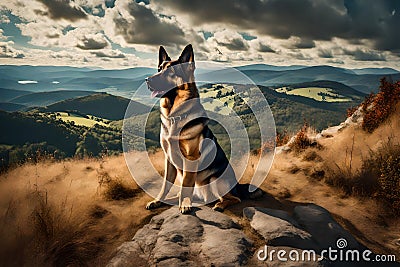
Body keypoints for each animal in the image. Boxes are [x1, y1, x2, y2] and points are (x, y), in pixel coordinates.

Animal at [147, 44, 247, 216]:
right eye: (159, 69)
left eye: (170, 72)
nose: (147, 80)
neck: (174, 116)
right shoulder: (169, 159)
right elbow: (166, 185)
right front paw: (158, 200)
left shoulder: (190, 158)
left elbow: (186, 184)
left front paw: (185, 205)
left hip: (215, 179)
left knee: (235, 199)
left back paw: (219, 205)